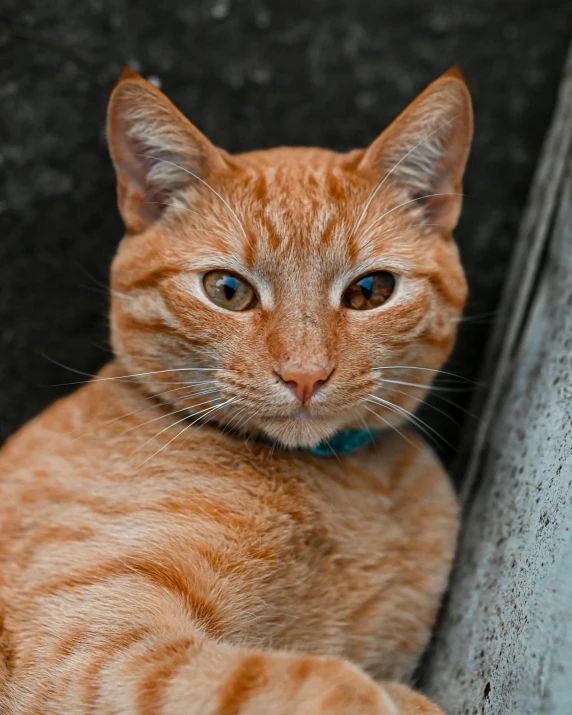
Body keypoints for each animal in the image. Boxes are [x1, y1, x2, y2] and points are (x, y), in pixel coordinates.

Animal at [0, 65, 472, 712]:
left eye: (370, 291)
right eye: (227, 290)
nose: (305, 374)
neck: (333, 485)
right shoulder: (78, 642)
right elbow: (285, 678)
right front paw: (381, 697)